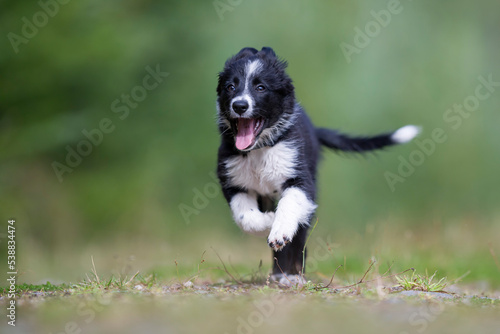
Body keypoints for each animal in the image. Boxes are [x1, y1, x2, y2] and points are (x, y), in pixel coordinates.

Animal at [215, 47, 418, 286]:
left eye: (260, 87)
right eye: (230, 87)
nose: (239, 105)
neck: (260, 150)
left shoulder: (301, 180)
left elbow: (289, 207)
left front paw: (279, 230)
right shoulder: (233, 182)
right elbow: (245, 216)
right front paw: (269, 221)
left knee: (299, 235)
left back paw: (290, 274)